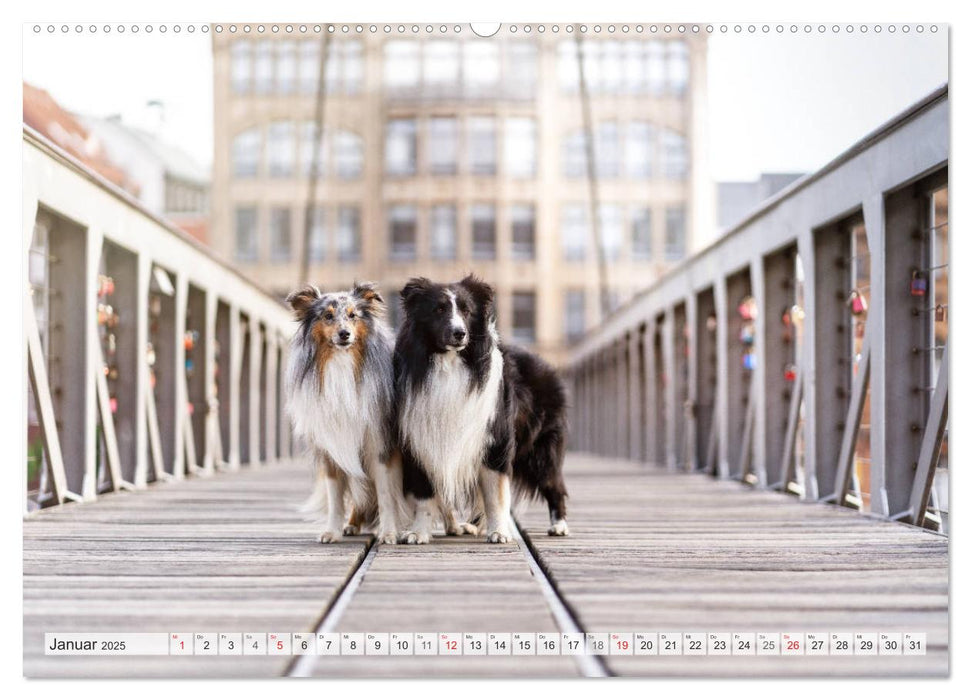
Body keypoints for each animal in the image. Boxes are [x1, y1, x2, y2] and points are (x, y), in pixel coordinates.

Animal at [282, 282, 404, 544]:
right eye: (327, 316)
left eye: (352, 315)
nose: (344, 334)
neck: (341, 362)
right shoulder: (332, 448)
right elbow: (336, 498)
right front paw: (332, 531)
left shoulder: (379, 446)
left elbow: (386, 494)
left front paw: (389, 532)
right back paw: (352, 525)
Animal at [392, 276, 568, 544]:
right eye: (439, 309)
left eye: (467, 311)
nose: (459, 333)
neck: (450, 364)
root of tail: (546, 366)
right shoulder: (418, 439)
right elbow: (424, 495)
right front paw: (418, 533)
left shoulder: (494, 440)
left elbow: (495, 494)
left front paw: (499, 533)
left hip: (541, 449)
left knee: (553, 483)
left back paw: (559, 526)